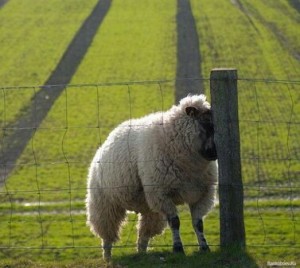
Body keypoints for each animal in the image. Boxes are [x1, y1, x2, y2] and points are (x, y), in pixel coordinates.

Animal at [85, 93, 217, 260]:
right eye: (206, 124)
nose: (215, 153)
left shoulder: (203, 195)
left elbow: (198, 224)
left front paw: (204, 247)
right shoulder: (162, 194)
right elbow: (175, 222)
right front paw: (178, 248)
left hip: (149, 206)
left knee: (144, 233)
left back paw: (142, 253)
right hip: (105, 203)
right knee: (107, 232)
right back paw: (107, 257)